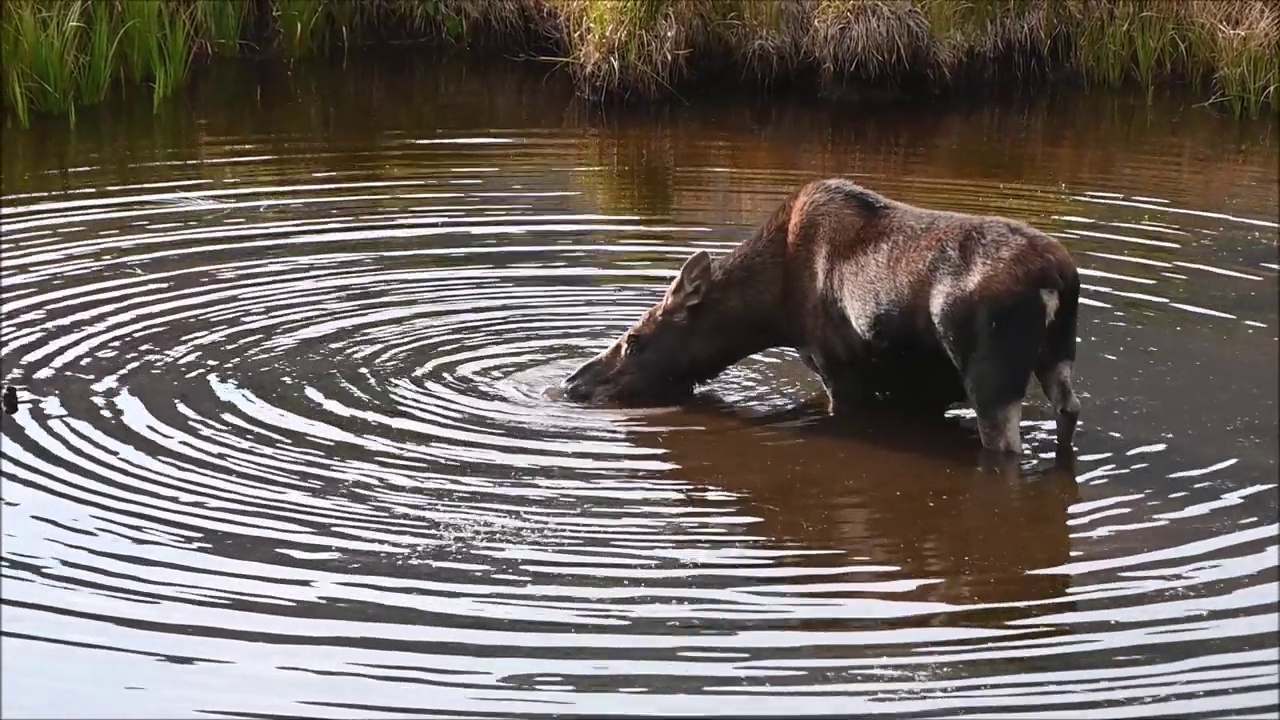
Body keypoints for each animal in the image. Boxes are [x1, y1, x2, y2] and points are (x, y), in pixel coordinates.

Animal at [563, 175, 1080, 450]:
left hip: (990, 379)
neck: (770, 311)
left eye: (634, 342)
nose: (572, 383)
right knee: (1069, 409)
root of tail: (1057, 278)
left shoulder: (838, 369)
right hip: (1056, 356)